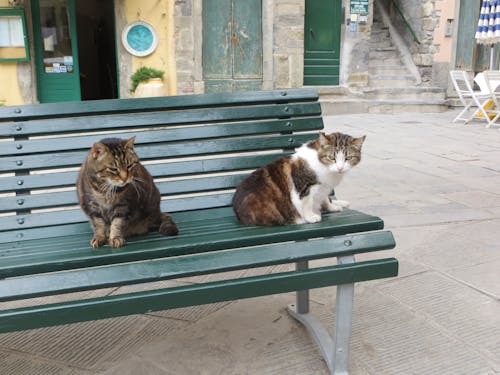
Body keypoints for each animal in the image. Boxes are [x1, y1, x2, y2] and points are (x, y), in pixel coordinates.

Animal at [232, 132, 366, 226]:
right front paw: (310, 217)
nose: (340, 167)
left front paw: (331, 207)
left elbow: (325, 199)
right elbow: (307, 202)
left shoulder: (323, 187)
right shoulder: (304, 186)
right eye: (331, 157)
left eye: (348, 158)